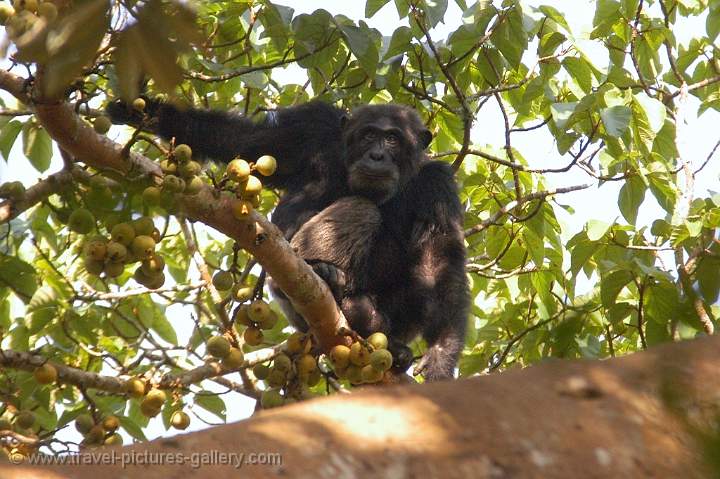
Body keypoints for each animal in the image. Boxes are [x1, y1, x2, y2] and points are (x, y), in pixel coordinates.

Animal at [105, 100, 466, 382]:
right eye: (368, 135)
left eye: (392, 139)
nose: (377, 155)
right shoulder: (311, 129)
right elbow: (247, 141)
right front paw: (144, 112)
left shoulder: (439, 186)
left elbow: (441, 259)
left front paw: (440, 357)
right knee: (361, 210)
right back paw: (330, 280)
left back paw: (389, 340)